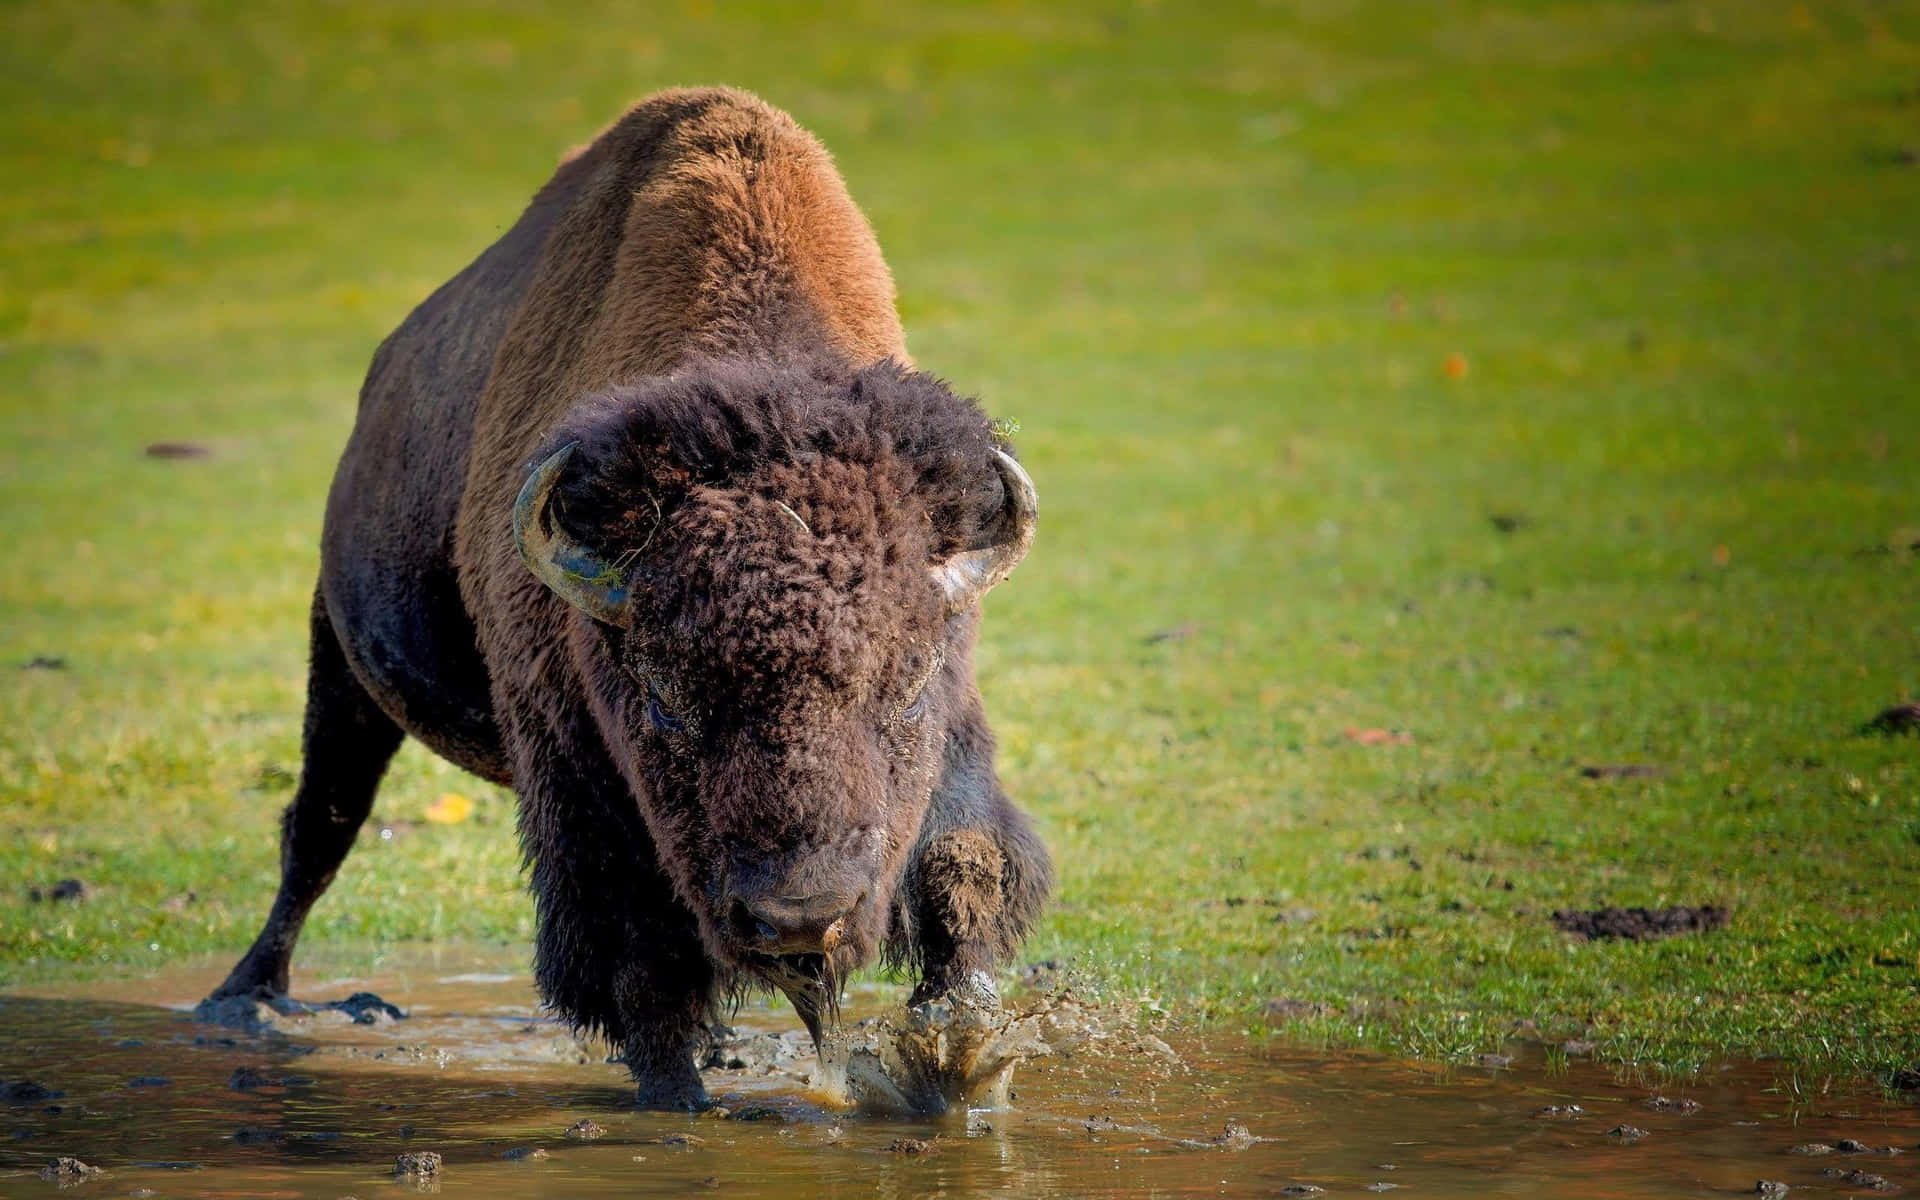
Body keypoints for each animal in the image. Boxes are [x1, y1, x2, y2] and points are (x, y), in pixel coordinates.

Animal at [208, 88, 1052, 1105]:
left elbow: (964, 871)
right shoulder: (575, 783)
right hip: (340, 663)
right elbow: (638, 963)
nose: (799, 918)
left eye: (910, 684)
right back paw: (244, 997)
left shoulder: (955, 737)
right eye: (663, 700)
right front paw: (679, 1101)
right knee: (319, 828)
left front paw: (962, 1066)